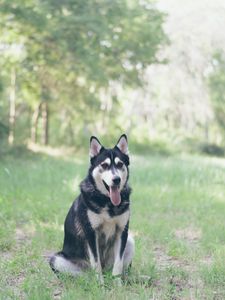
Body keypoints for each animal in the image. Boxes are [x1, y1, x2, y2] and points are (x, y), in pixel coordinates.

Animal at [49, 135, 134, 282]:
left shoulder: (122, 232)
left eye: (120, 164)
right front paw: (100, 284)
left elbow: (118, 263)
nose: (116, 179)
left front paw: (117, 283)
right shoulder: (90, 232)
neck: (107, 202)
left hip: (130, 242)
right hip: (56, 259)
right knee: (86, 273)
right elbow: (96, 262)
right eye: (104, 165)